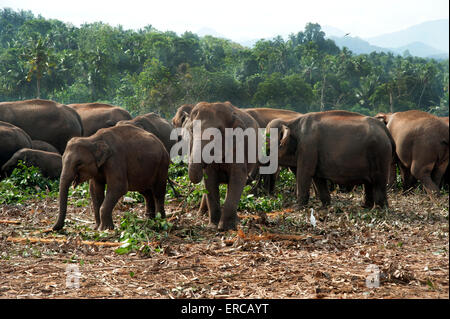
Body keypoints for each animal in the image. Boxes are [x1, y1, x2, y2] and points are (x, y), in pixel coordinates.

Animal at [184, 101, 260, 231]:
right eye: (191, 130)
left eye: (217, 133)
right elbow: (210, 180)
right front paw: (213, 225)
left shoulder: (238, 146)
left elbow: (237, 178)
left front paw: (225, 228)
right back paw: (201, 214)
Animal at [266, 111, 396, 209]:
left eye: (268, 146)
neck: (290, 122)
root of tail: (385, 130)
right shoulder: (312, 152)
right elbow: (317, 178)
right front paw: (325, 206)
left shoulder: (307, 147)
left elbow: (304, 173)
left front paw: (297, 208)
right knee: (369, 182)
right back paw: (366, 207)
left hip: (380, 153)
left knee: (378, 182)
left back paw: (379, 209)